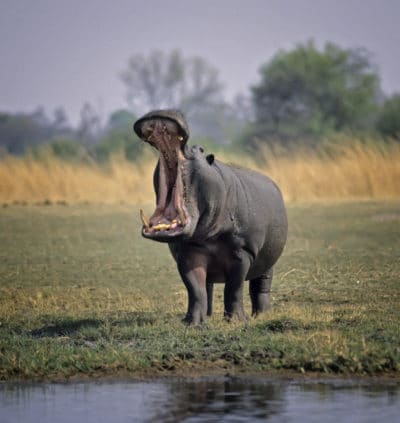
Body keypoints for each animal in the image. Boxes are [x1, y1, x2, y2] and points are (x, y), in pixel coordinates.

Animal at [134, 109, 288, 324]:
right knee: (208, 287)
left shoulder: (243, 252)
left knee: (261, 285)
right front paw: (192, 323)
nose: (163, 109)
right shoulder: (188, 251)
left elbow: (234, 288)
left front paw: (236, 321)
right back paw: (208, 316)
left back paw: (261, 315)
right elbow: (195, 289)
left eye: (200, 149)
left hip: (269, 259)